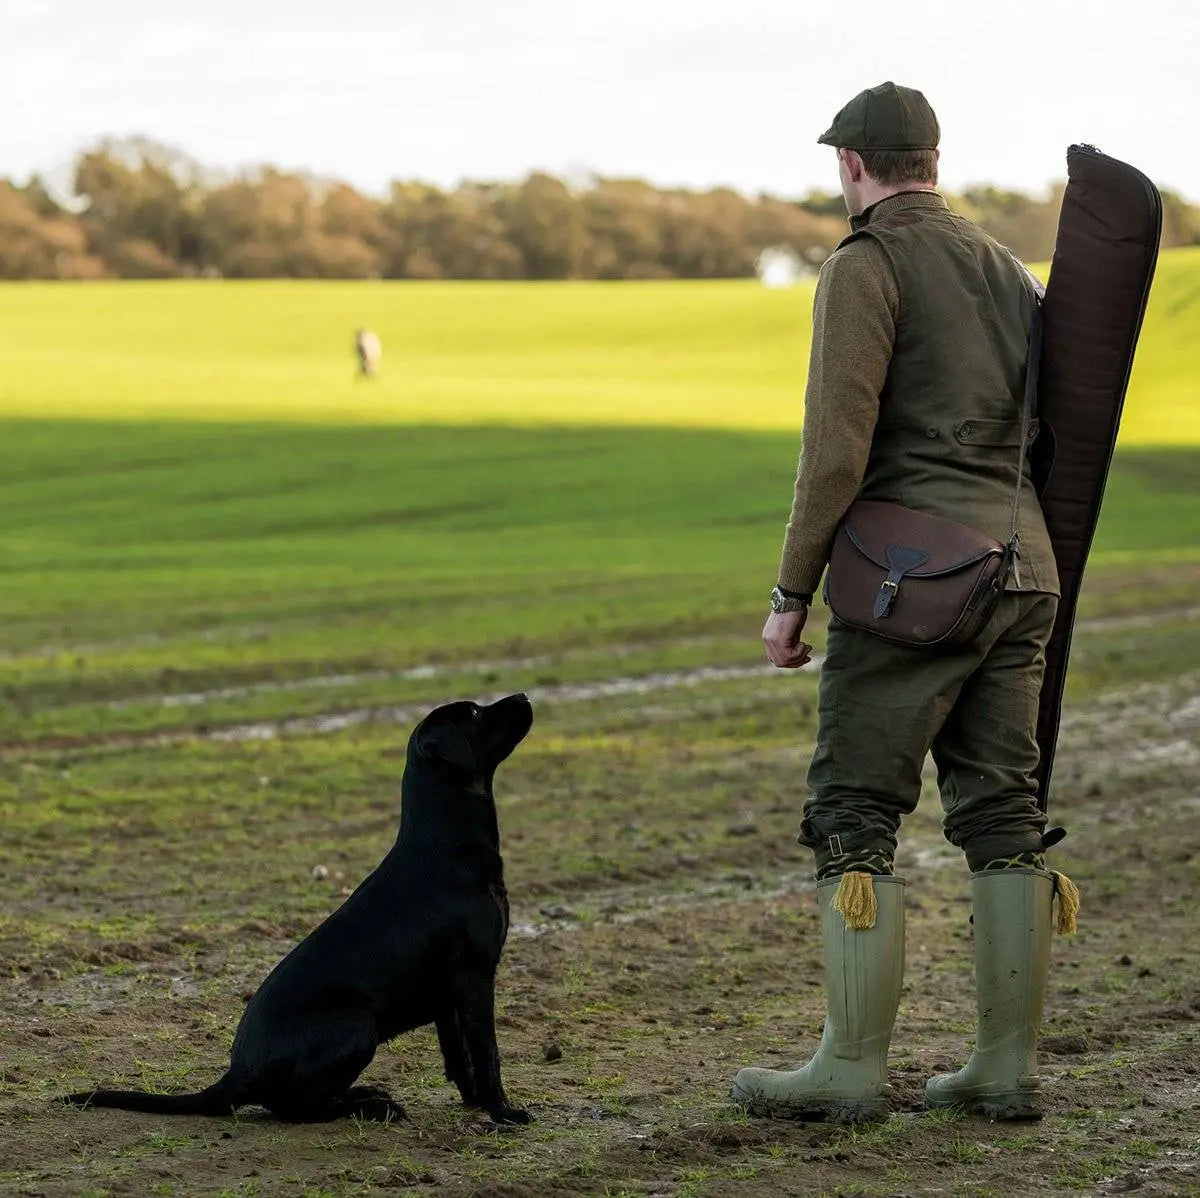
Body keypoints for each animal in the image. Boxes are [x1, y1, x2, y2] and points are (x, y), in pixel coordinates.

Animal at [60, 696, 530, 1123]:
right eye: (474, 713)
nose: (524, 696)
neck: (445, 844)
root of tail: (235, 1075)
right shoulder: (475, 978)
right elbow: (487, 1054)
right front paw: (504, 1112)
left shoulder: (448, 992)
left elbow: (459, 1057)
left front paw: (475, 1103)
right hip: (356, 1025)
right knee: (296, 1108)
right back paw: (372, 1107)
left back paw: (367, 1096)